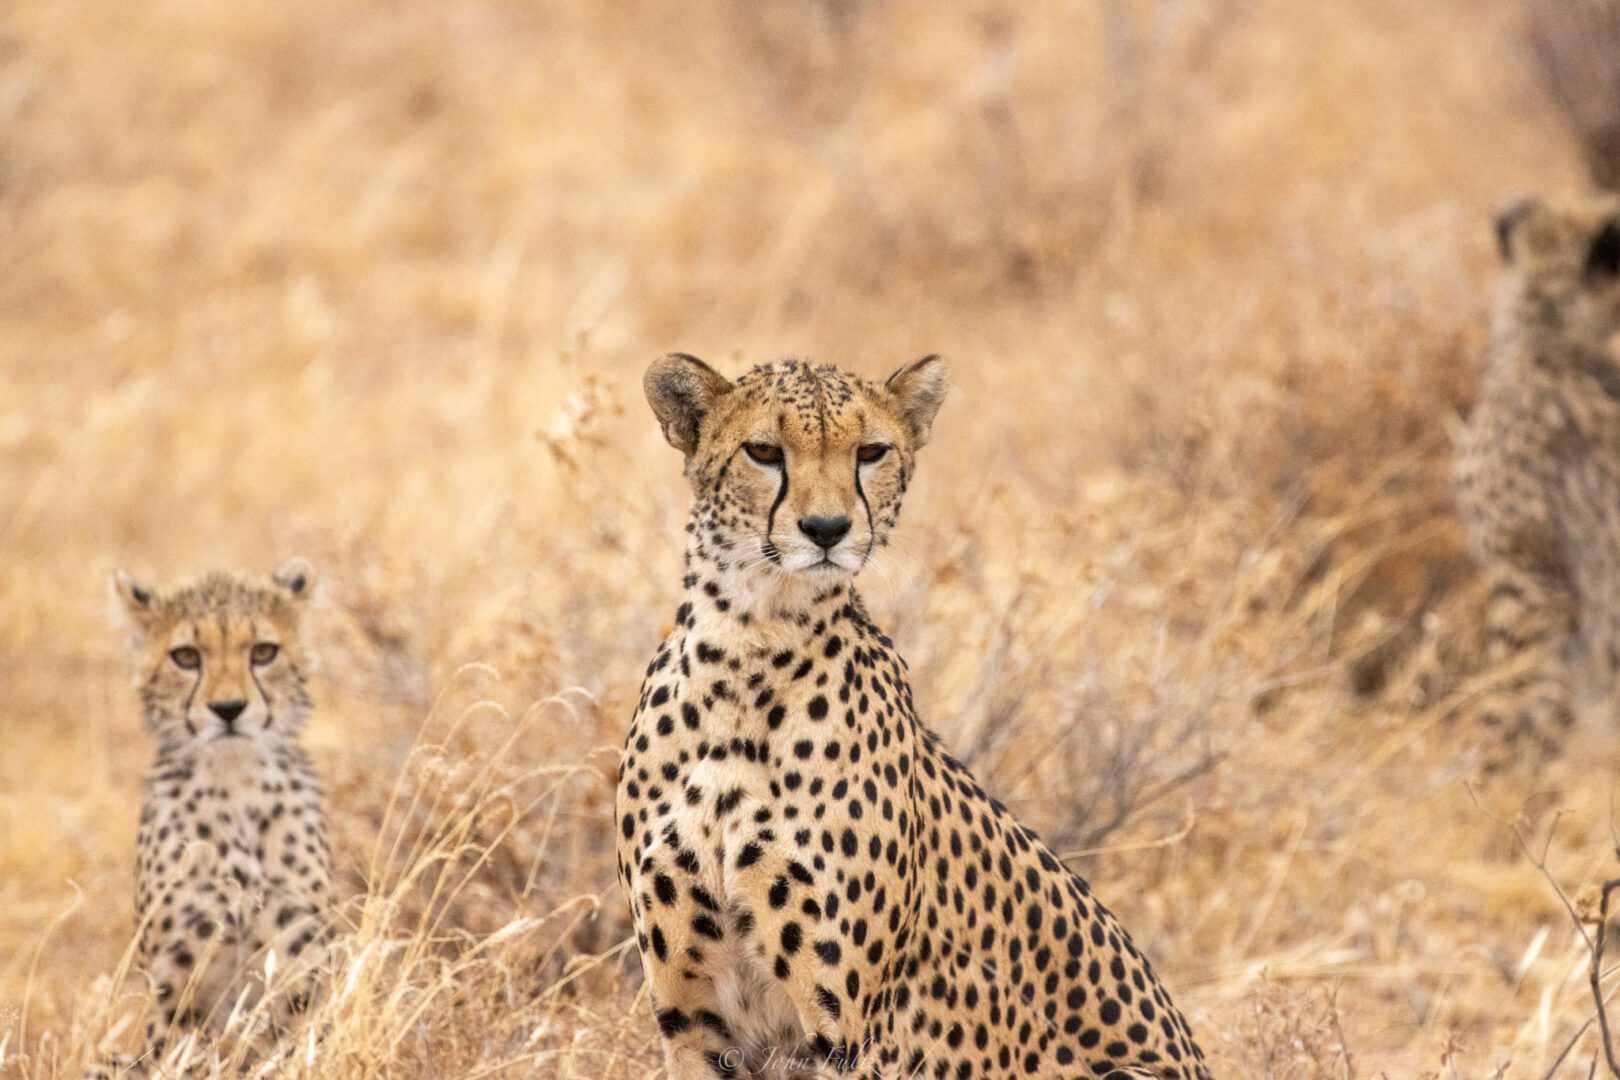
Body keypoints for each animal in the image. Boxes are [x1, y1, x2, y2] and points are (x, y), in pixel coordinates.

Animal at [106, 566, 332, 1075]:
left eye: (263, 652)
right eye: (187, 657)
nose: (228, 709)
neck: (235, 779)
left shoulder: (303, 968)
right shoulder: (177, 984)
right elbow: (182, 1053)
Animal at [618, 356, 1218, 1080]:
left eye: (870, 452)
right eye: (763, 452)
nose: (827, 529)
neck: (748, 648)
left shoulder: (848, 1032)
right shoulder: (693, 1020)